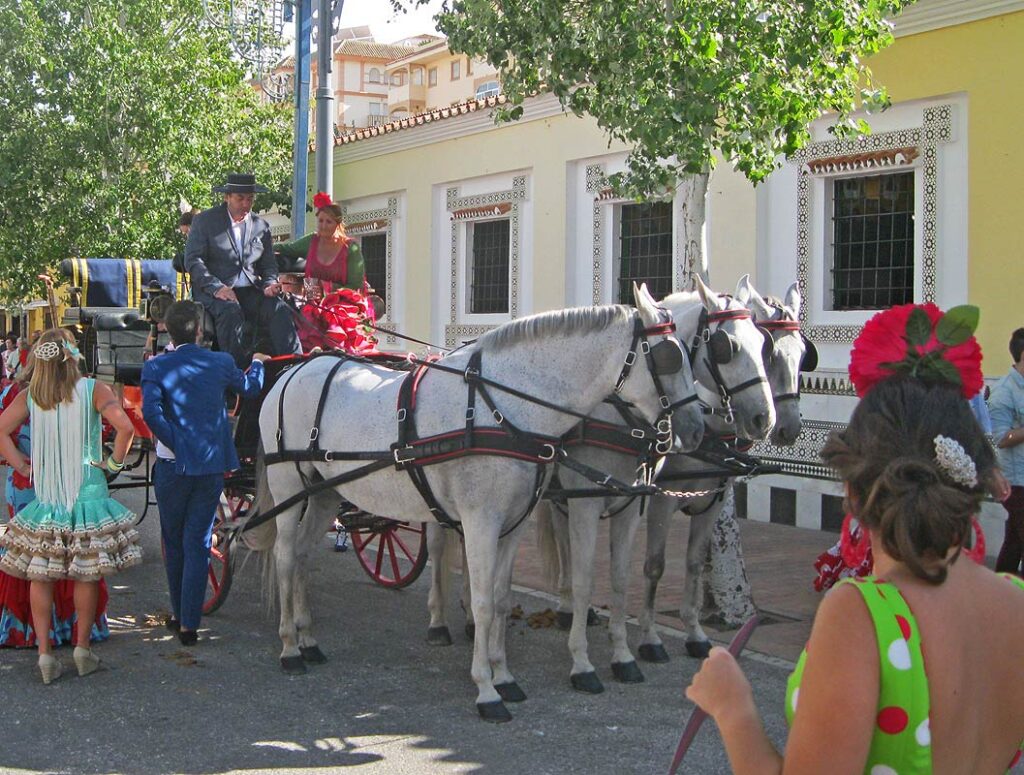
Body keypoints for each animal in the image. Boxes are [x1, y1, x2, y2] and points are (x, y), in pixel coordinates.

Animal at [241, 282, 704, 720]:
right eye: (668, 357)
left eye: (689, 352)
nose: (694, 429)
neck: (503, 410)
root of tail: (292, 372)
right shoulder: (482, 521)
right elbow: (481, 602)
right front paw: (486, 689)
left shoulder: (514, 524)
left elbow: (498, 599)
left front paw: (505, 676)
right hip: (288, 486)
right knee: (285, 557)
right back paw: (289, 647)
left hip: (324, 493)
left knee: (302, 556)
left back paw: (308, 638)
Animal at [634, 276, 811, 659]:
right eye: (770, 353)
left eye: (804, 355)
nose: (778, 424)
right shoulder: (661, 500)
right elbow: (654, 566)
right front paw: (649, 637)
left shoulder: (713, 498)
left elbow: (695, 561)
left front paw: (694, 632)